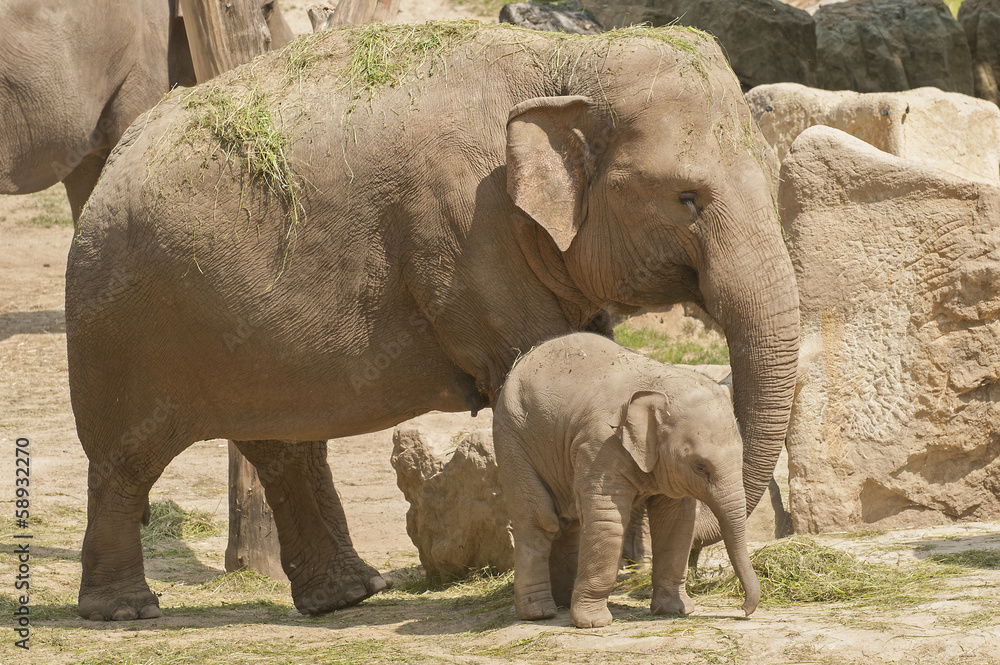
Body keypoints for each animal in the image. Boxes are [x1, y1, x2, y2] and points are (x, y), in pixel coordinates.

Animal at [493, 332, 759, 628]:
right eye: (700, 467)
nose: (744, 610)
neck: (659, 386)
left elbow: (676, 521)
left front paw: (676, 610)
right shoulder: (600, 446)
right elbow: (607, 518)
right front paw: (594, 623)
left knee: (570, 520)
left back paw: (563, 600)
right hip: (512, 440)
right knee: (539, 519)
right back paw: (539, 613)